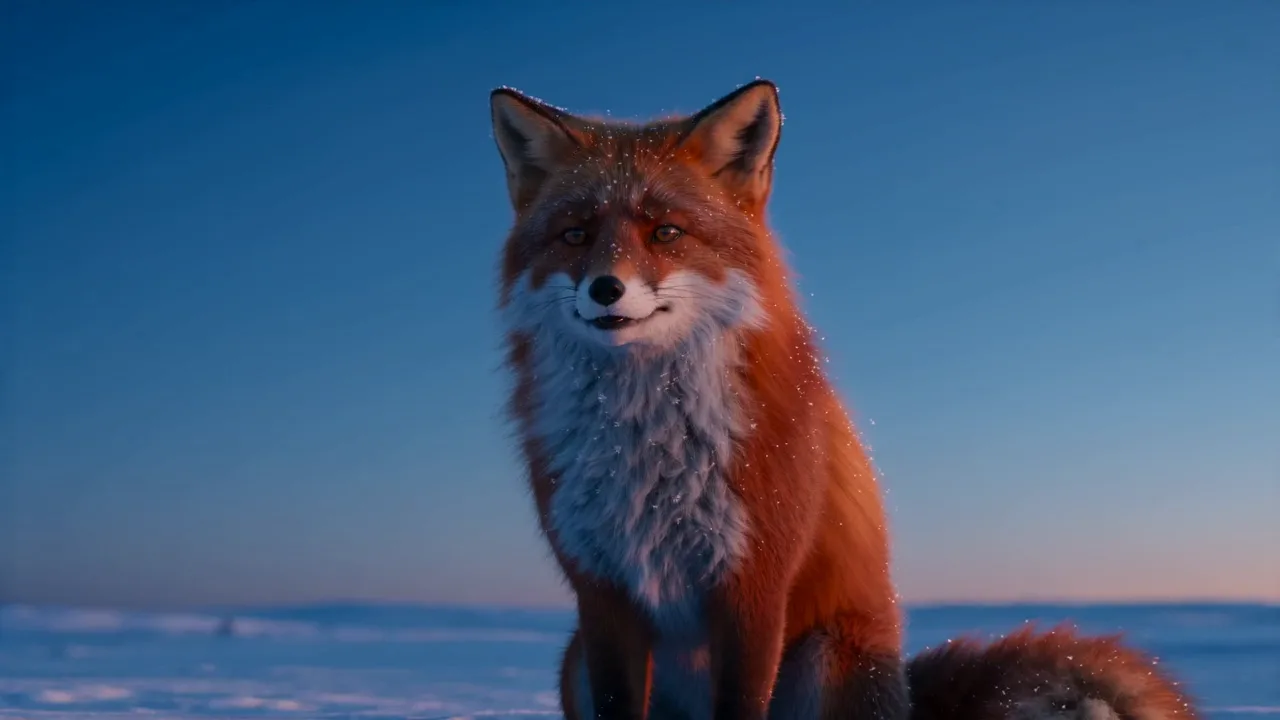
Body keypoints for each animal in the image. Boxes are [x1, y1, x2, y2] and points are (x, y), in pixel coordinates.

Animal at [489, 80, 1199, 720]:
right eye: (576, 235)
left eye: (665, 232)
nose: (605, 289)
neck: (645, 445)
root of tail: (907, 701)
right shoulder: (602, 594)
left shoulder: (754, 586)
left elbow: (741, 702)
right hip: (574, 659)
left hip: (824, 658)